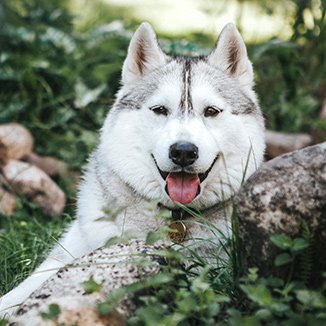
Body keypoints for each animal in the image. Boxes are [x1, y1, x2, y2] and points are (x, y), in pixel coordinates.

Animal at [0, 21, 264, 314]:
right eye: (160, 110)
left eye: (211, 111)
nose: (183, 151)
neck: (175, 218)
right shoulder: (68, 251)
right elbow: (20, 291)